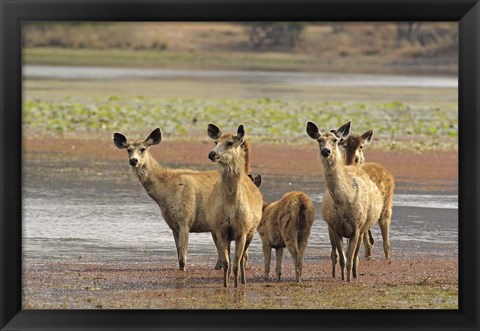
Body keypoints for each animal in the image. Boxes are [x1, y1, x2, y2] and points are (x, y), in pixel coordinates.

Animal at [112, 128, 242, 272]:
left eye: (143, 149)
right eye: (128, 149)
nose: (134, 161)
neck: (164, 193)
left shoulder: (185, 219)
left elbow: (183, 257)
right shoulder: (173, 225)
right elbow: (178, 255)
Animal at [205, 124, 262, 288]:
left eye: (230, 143)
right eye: (215, 142)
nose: (212, 154)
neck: (230, 206)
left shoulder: (241, 231)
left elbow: (237, 262)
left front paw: (236, 286)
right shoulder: (221, 230)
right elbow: (226, 262)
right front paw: (226, 285)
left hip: (251, 231)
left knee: (242, 258)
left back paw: (243, 280)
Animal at [308, 120, 382, 282]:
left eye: (335, 140)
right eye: (319, 140)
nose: (326, 151)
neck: (344, 203)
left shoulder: (357, 228)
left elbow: (350, 258)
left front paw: (349, 279)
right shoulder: (335, 228)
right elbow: (342, 258)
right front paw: (342, 277)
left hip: (364, 227)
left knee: (355, 256)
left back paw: (354, 273)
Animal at [338, 129, 394, 260]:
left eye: (361, 146)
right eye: (345, 145)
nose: (356, 158)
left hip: (387, 202)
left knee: (384, 224)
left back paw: (386, 256)